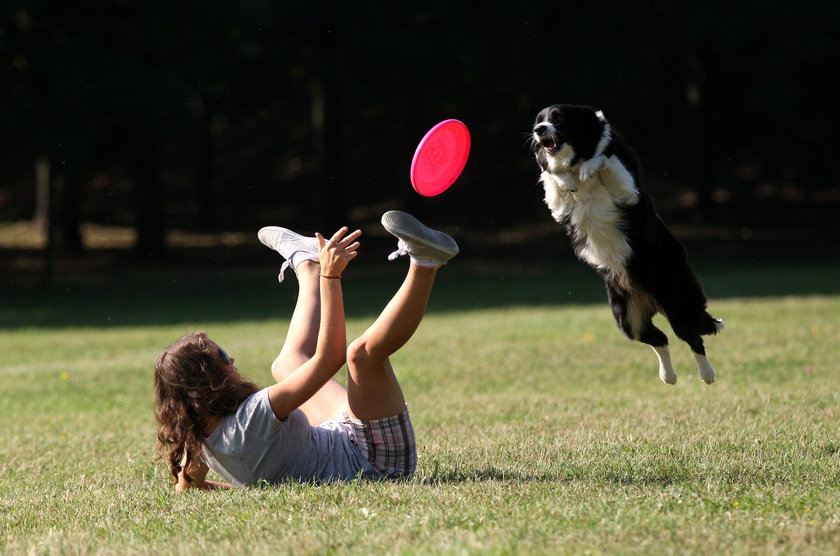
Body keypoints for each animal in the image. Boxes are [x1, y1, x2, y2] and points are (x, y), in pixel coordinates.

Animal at [532, 103, 720, 382]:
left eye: (559, 118)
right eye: (539, 120)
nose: (539, 130)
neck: (577, 159)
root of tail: (652, 302)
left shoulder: (628, 192)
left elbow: (606, 160)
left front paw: (592, 164)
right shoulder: (558, 208)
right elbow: (551, 176)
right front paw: (562, 176)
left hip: (678, 303)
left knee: (693, 337)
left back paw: (707, 374)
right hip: (628, 318)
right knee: (660, 339)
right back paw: (668, 376)